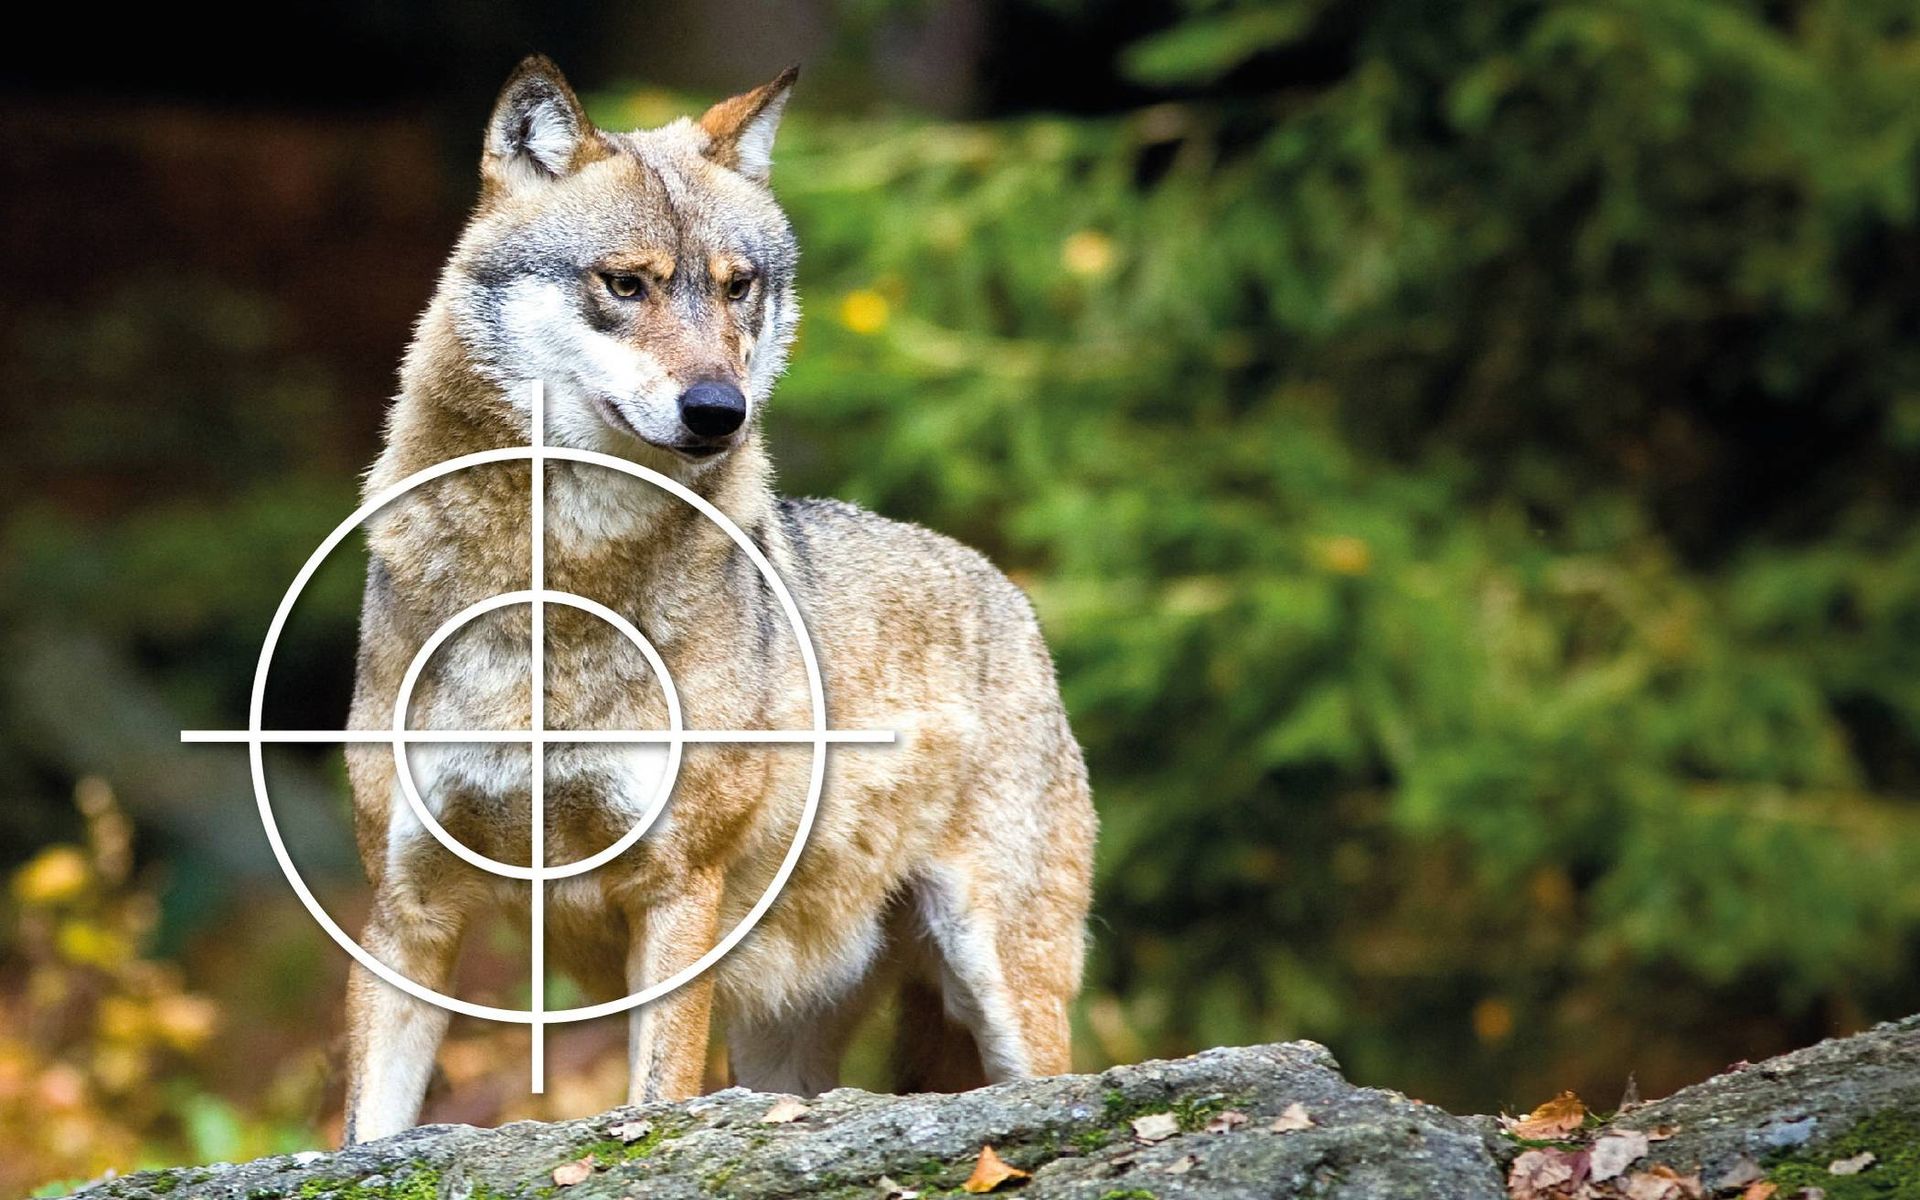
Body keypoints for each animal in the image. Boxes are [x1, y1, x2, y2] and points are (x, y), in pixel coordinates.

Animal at [339, 57, 1097, 1143]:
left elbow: (656, 1098)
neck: (554, 595)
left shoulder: (676, 891)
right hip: (785, 1043)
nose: (718, 411)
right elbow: (366, 1131)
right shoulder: (408, 911)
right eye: (626, 283)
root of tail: (1008, 591)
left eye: (739, 287)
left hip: (1002, 987)